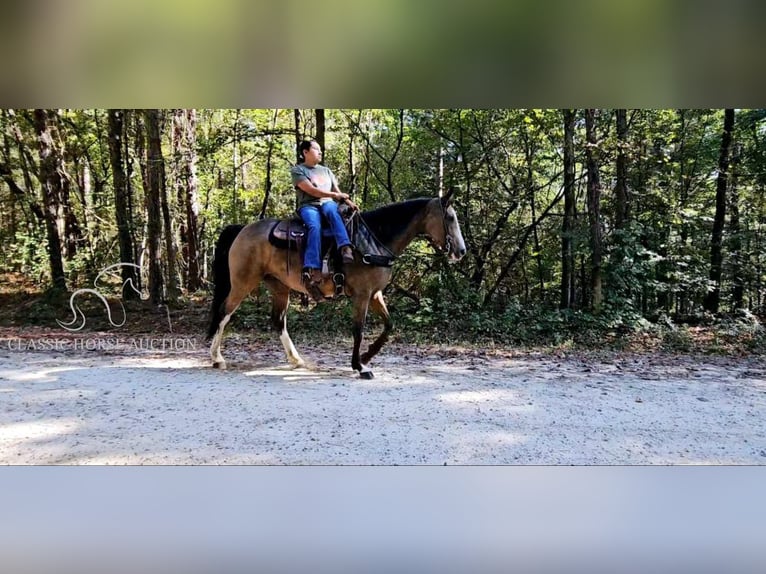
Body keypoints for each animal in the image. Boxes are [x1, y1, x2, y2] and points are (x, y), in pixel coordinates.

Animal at [207, 188, 464, 378]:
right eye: (450, 217)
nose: (461, 251)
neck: (372, 240)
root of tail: (243, 229)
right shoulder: (362, 294)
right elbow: (358, 329)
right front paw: (359, 366)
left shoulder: (375, 294)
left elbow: (389, 325)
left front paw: (366, 357)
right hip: (243, 282)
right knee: (224, 312)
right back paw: (217, 358)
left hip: (279, 286)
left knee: (278, 320)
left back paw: (296, 359)